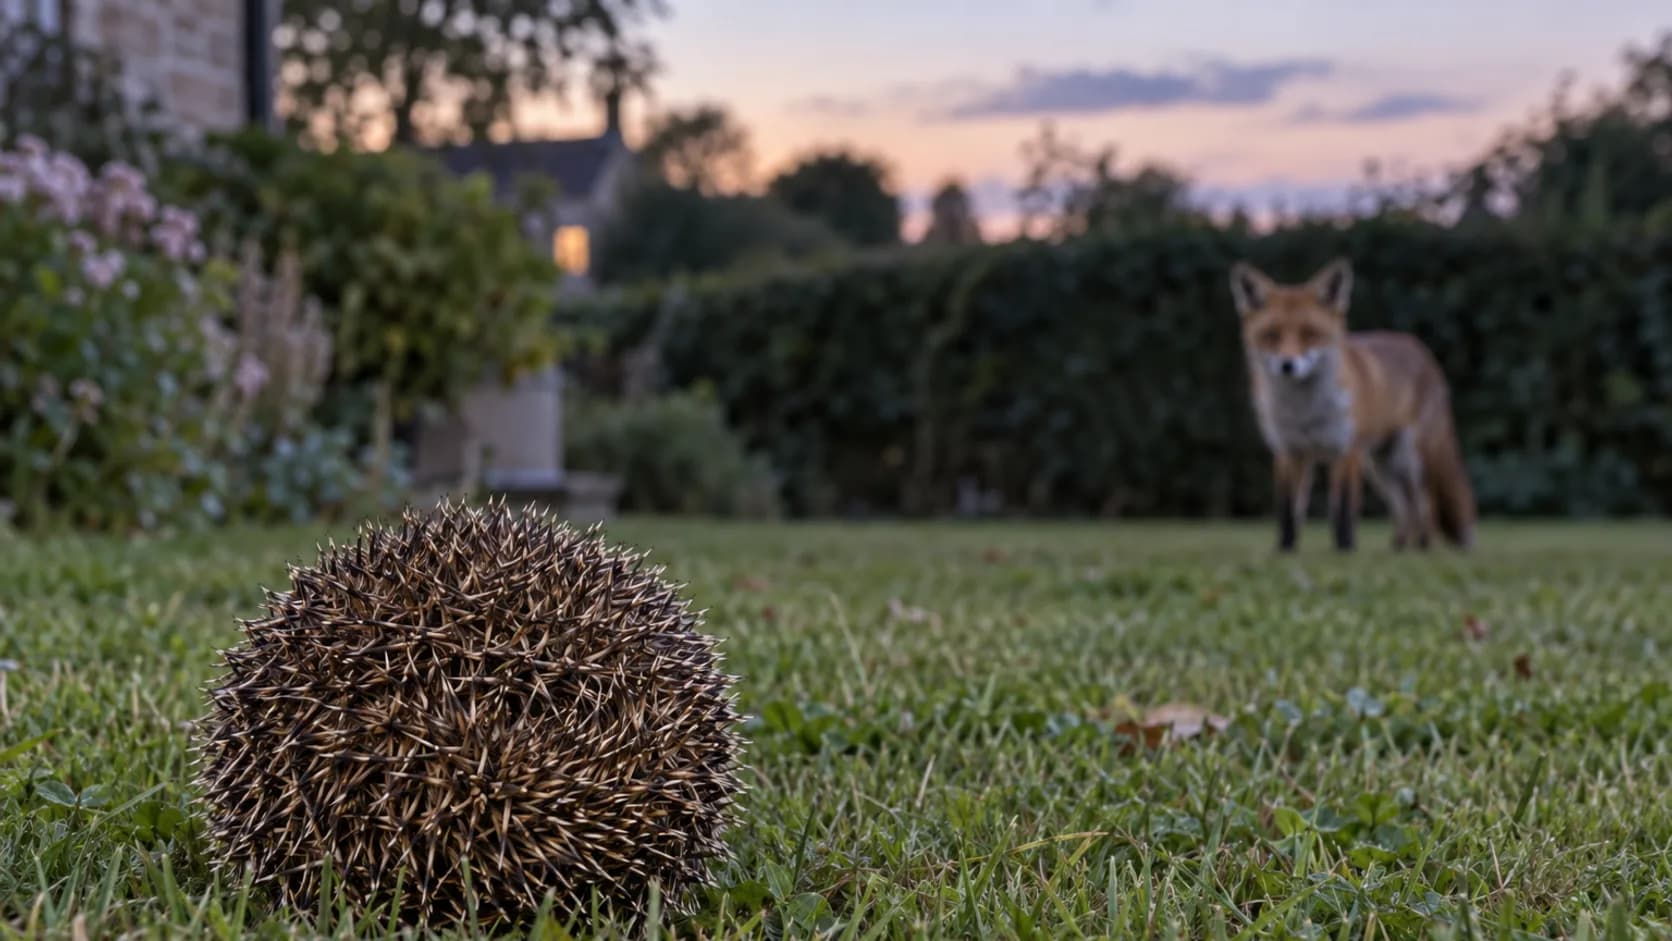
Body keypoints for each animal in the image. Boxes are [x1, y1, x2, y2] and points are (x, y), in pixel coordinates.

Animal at [1229, 258, 1476, 553]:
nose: (1287, 365)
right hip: (1382, 467)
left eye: (1310, 334)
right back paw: (1399, 547)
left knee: (1426, 506)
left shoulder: (1347, 449)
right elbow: (1288, 508)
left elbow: (1343, 507)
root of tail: (1422, 350)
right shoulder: (1289, 451)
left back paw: (1423, 547)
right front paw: (1285, 548)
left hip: (1412, 459)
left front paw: (1345, 548)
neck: (1306, 413)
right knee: (1405, 508)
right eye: (1271, 335)